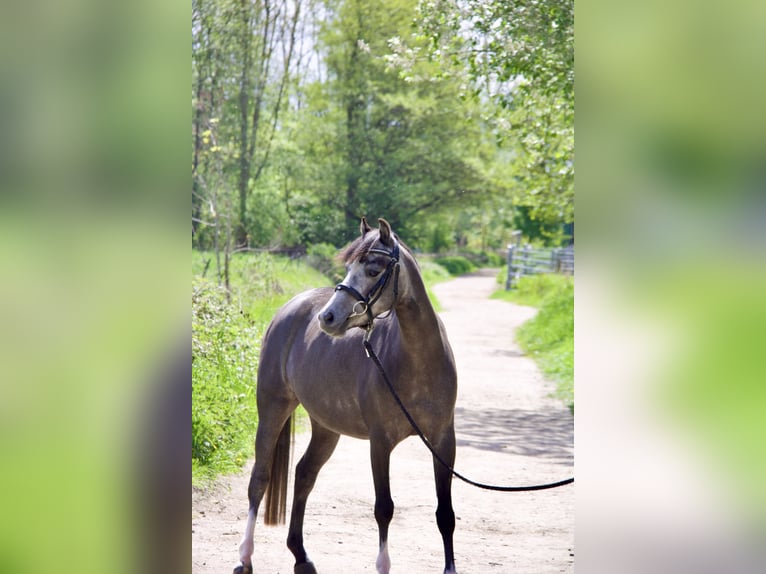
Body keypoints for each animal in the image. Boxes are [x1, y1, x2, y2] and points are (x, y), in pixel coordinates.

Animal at [234, 217, 459, 574]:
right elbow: (384, 507)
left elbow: (445, 512)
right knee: (260, 479)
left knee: (304, 474)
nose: (327, 318)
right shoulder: (380, 442)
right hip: (272, 408)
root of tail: (290, 307)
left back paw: (301, 556)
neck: (419, 361)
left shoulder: (443, 441)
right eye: (349, 267)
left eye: (373, 269)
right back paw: (244, 558)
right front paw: (382, 565)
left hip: (326, 427)